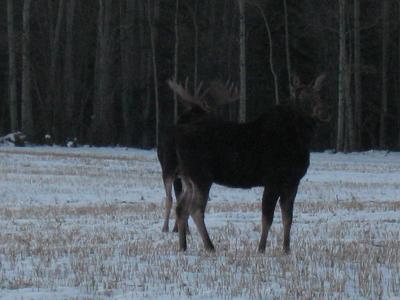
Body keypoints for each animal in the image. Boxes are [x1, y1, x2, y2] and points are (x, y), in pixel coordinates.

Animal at [157, 78, 239, 232]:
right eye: (208, 114)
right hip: (175, 168)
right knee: (174, 198)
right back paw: (170, 227)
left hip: (173, 167)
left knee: (174, 197)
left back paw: (173, 227)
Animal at [172, 73, 328, 253]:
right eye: (302, 97)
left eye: (319, 94)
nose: (323, 111)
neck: (300, 140)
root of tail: (178, 139)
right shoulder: (272, 180)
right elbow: (267, 217)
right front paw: (261, 248)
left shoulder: (292, 182)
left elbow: (288, 218)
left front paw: (286, 249)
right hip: (201, 176)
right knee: (195, 209)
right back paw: (210, 246)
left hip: (188, 178)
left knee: (181, 207)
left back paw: (183, 246)